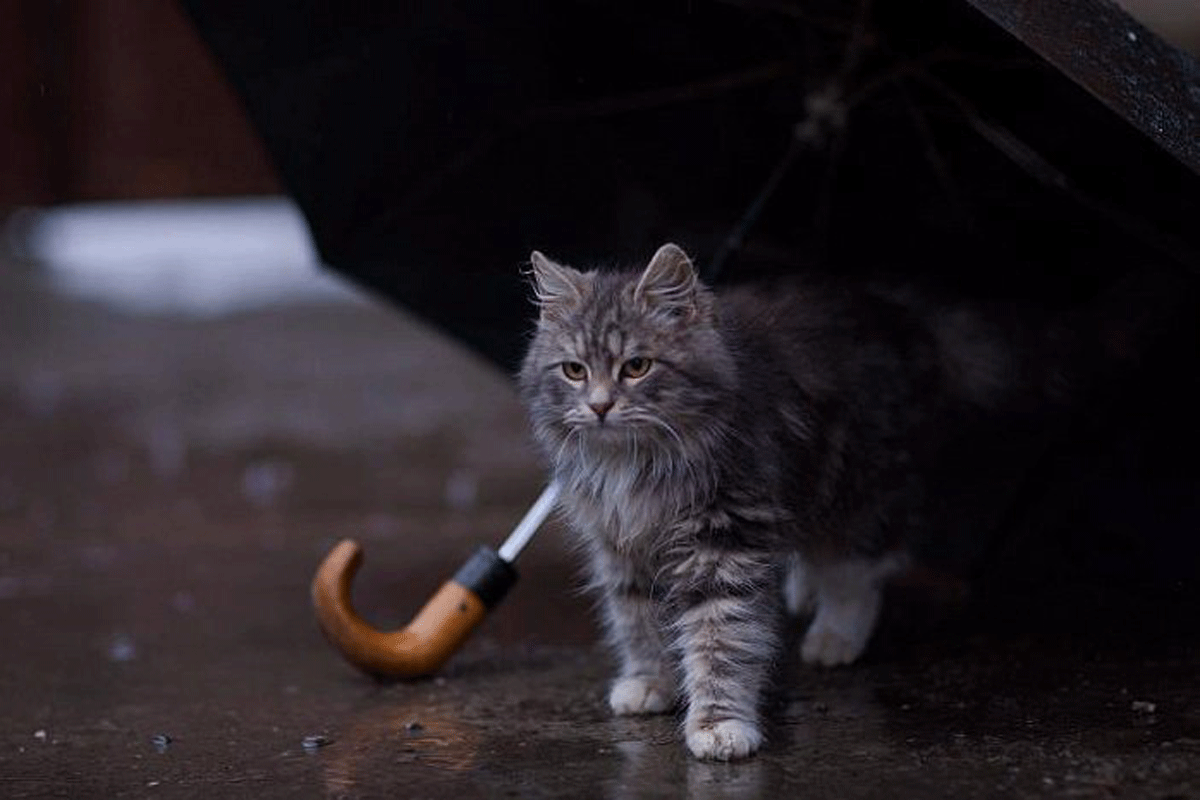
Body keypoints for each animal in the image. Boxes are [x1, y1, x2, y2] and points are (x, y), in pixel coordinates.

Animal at [520, 241, 1046, 762]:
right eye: (574, 371)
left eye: (636, 367)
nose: (599, 406)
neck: (634, 465)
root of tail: (899, 311)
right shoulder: (621, 545)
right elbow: (638, 621)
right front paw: (651, 681)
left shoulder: (723, 541)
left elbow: (720, 639)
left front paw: (719, 726)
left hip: (858, 487)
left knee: (857, 571)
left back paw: (834, 639)